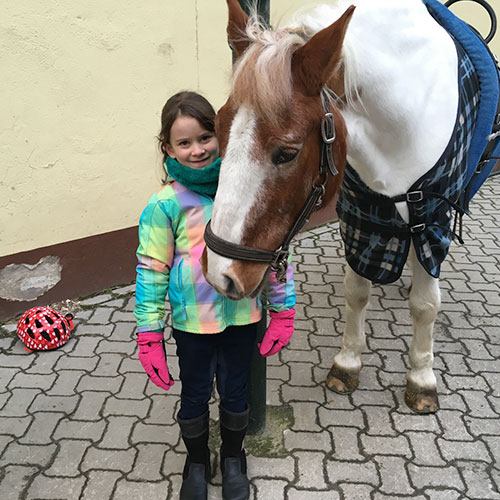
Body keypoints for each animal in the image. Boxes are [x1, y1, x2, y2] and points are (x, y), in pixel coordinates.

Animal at [201, 0, 500, 414]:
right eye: (217, 129)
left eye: (287, 152)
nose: (220, 274)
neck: (406, 113)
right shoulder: (360, 219)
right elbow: (357, 291)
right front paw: (348, 362)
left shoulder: (431, 222)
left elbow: (425, 305)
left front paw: (422, 377)